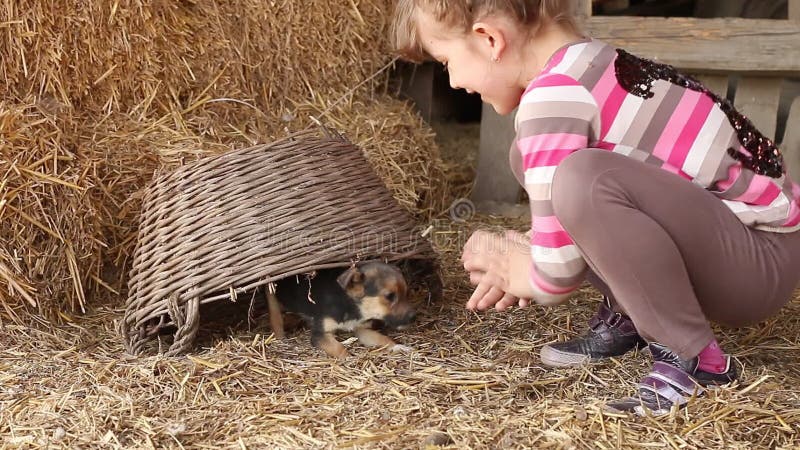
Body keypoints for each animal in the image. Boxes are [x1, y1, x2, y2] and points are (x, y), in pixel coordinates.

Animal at [268, 262, 418, 356]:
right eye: (389, 296)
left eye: (406, 293)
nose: (413, 317)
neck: (349, 305)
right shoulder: (319, 335)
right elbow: (338, 348)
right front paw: (347, 359)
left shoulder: (361, 329)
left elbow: (382, 338)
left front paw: (397, 346)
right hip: (271, 295)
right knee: (275, 317)